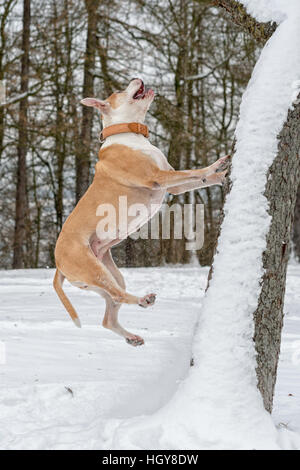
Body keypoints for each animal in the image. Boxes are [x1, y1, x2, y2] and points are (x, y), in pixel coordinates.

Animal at [53, 78, 230, 346]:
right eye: (119, 90)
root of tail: (57, 263)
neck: (129, 133)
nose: (138, 78)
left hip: (107, 272)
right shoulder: (158, 177)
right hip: (94, 270)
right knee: (119, 296)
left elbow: (197, 180)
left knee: (109, 314)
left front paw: (221, 175)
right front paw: (215, 165)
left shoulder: (174, 186)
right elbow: (193, 172)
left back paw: (132, 336)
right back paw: (143, 300)